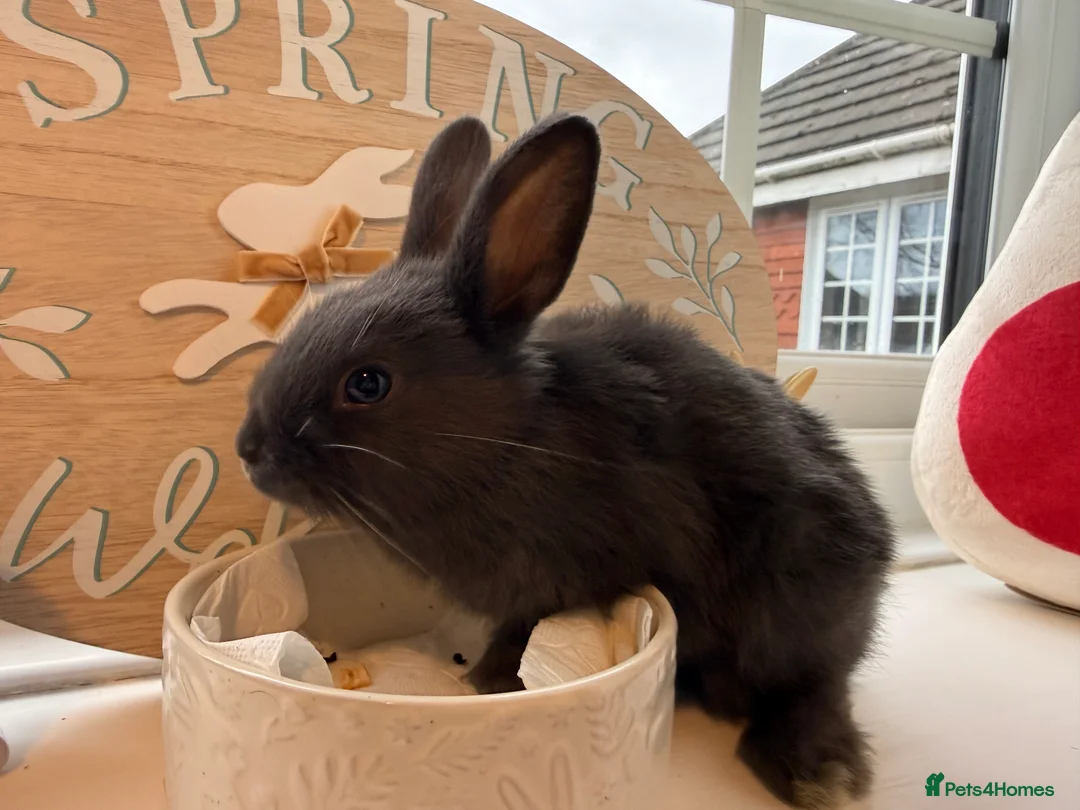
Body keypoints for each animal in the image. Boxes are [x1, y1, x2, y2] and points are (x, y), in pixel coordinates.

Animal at [236, 113, 896, 809]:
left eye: (367, 384)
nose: (250, 449)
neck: (511, 442)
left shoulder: (557, 580)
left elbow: (520, 632)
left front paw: (490, 680)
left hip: (796, 595)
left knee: (813, 686)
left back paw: (816, 774)